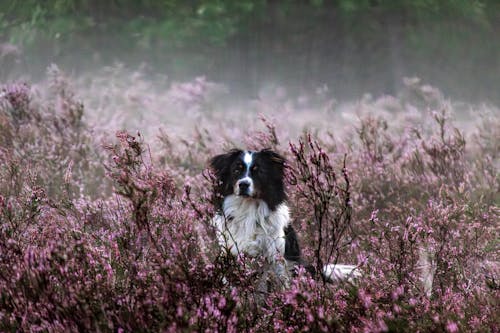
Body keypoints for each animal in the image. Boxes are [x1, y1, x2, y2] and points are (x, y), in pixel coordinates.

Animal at [209, 148, 358, 288]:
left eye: (259, 171)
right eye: (236, 170)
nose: (243, 184)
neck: (248, 209)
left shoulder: (277, 257)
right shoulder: (231, 253)